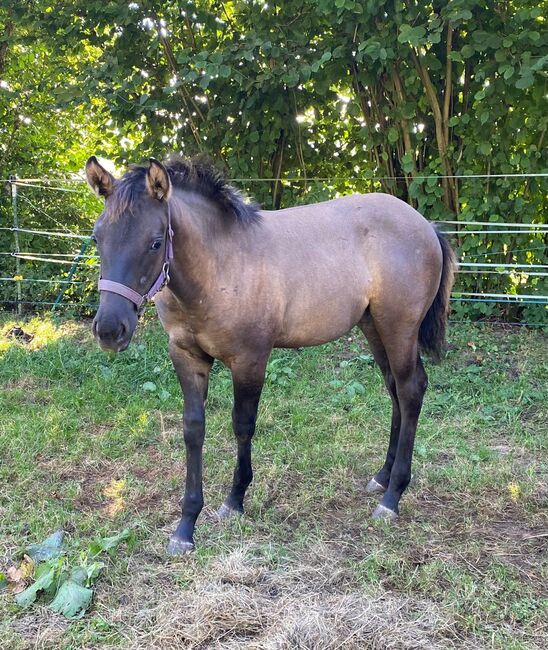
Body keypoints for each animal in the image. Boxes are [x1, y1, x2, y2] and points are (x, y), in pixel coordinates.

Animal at [84, 156, 454, 552]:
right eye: (97, 237)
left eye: (155, 243)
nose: (110, 330)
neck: (220, 266)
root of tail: (426, 225)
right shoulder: (186, 355)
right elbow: (193, 429)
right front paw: (186, 527)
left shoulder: (250, 359)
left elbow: (242, 425)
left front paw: (234, 501)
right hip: (374, 327)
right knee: (395, 391)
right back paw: (382, 477)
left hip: (399, 329)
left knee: (411, 390)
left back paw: (392, 496)